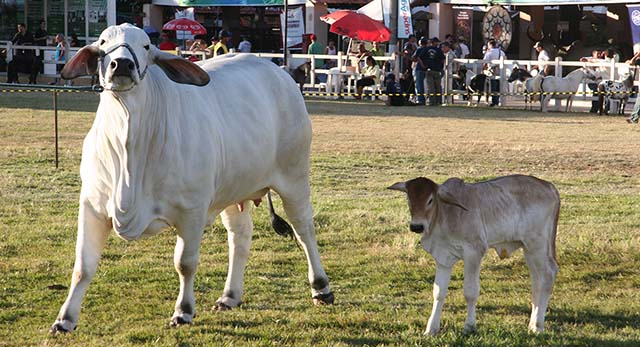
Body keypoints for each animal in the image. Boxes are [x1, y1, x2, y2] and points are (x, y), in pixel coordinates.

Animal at [48, 23, 336, 334]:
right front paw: (64, 319)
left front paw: (183, 311)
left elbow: (184, 263)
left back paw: (321, 288)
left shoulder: (192, 212)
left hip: (294, 176)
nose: (122, 64)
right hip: (234, 192)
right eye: (102, 42)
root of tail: (278, 70)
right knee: (240, 237)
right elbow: (83, 265)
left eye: (146, 46)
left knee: (304, 229)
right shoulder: (92, 206)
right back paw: (229, 295)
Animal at [388, 175, 556, 336]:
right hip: (528, 249)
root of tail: (548, 186)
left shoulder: (474, 252)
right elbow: (438, 293)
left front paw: (469, 326)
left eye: (430, 200)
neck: (444, 214)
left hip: (538, 245)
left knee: (548, 275)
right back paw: (532, 323)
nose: (417, 226)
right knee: (536, 280)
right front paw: (431, 329)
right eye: (409, 199)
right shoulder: (443, 258)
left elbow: (470, 292)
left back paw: (538, 326)